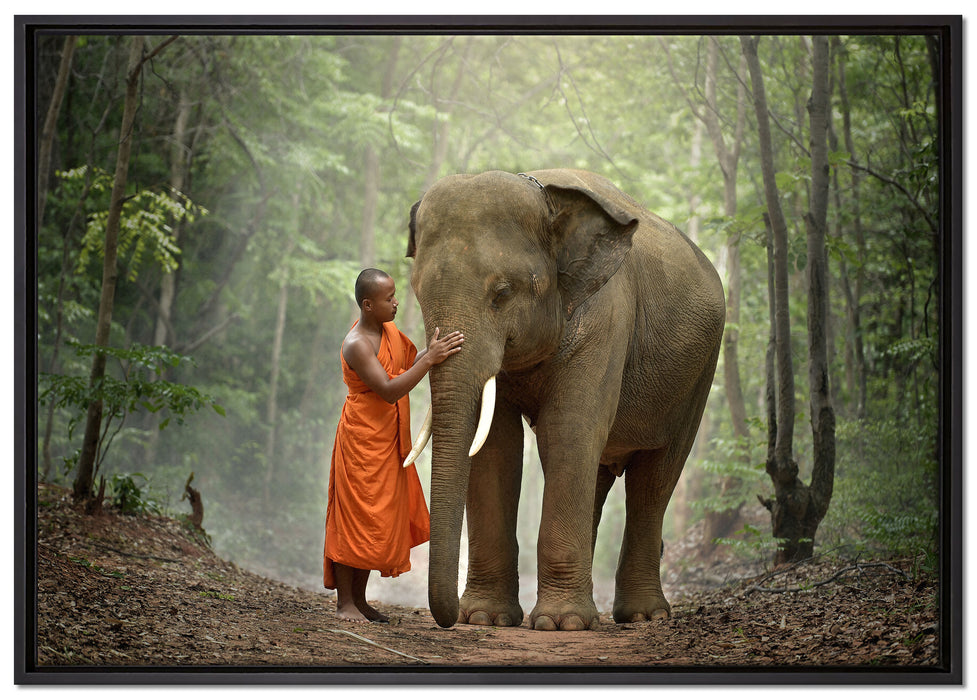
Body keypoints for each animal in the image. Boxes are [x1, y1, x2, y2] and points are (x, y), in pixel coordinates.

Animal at [403, 169, 725, 631]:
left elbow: (568, 431)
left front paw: (561, 624)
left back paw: (641, 616)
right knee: (599, 476)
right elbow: (496, 445)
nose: (448, 620)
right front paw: (485, 618)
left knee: (655, 478)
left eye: (502, 293)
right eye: (417, 291)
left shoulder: (606, 319)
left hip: (698, 376)